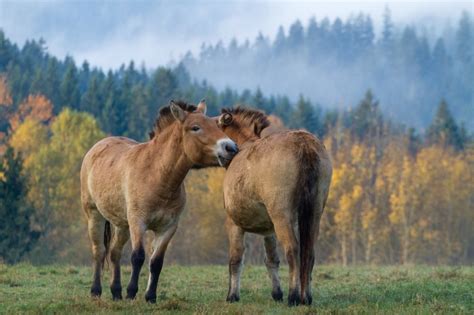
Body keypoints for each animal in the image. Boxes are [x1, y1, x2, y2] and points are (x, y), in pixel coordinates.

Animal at [81, 101, 239, 304]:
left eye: (218, 125)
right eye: (195, 127)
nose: (231, 148)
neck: (157, 174)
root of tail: (97, 147)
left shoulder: (168, 228)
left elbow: (156, 262)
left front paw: (150, 297)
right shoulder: (138, 222)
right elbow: (138, 257)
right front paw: (132, 293)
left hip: (121, 224)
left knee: (114, 253)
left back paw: (116, 292)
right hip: (95, 215)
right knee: (99, 251)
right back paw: (96, 291)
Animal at [217, 108, 332, 306]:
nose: (224, 151)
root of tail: (304, 144)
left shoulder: (234, 224)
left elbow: (235, 260)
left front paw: (232, 295)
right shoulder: (268, 230)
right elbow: (272, 260)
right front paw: (277, 293)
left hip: (282, 217)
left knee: (293, 250)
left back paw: (294, 296)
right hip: (314, 214)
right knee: (308, 252)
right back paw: (306, 297)